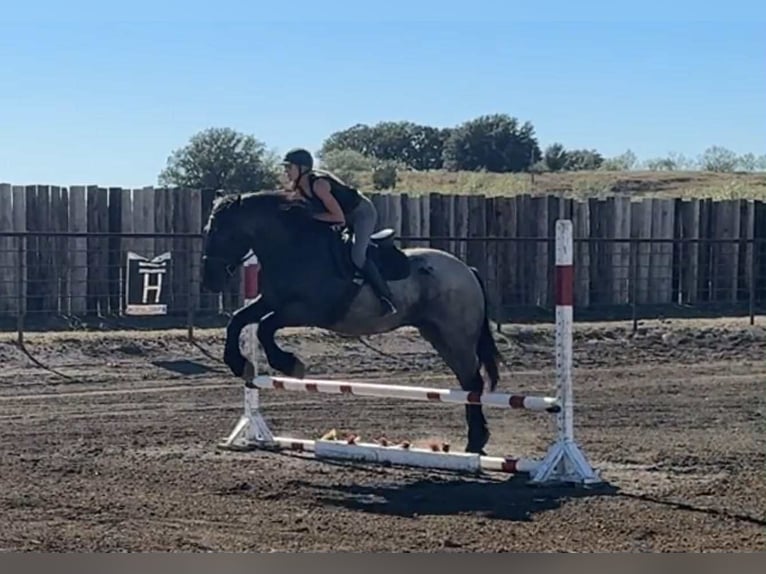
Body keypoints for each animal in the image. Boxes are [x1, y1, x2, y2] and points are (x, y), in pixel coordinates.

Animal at [200, 189, 505, 455]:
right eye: (207, 230)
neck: (294, 248)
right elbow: (238, 321)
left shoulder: (308, 311)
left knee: (473, 382)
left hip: (456, 335)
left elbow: (265, 327)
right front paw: (240, 364)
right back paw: (476, 441)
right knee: (467, 382)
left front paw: (289, 363)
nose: (209, 280)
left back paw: (475, 442)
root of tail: (467, 269)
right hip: (438, 335)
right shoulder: (270, 301)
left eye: (220, 231)